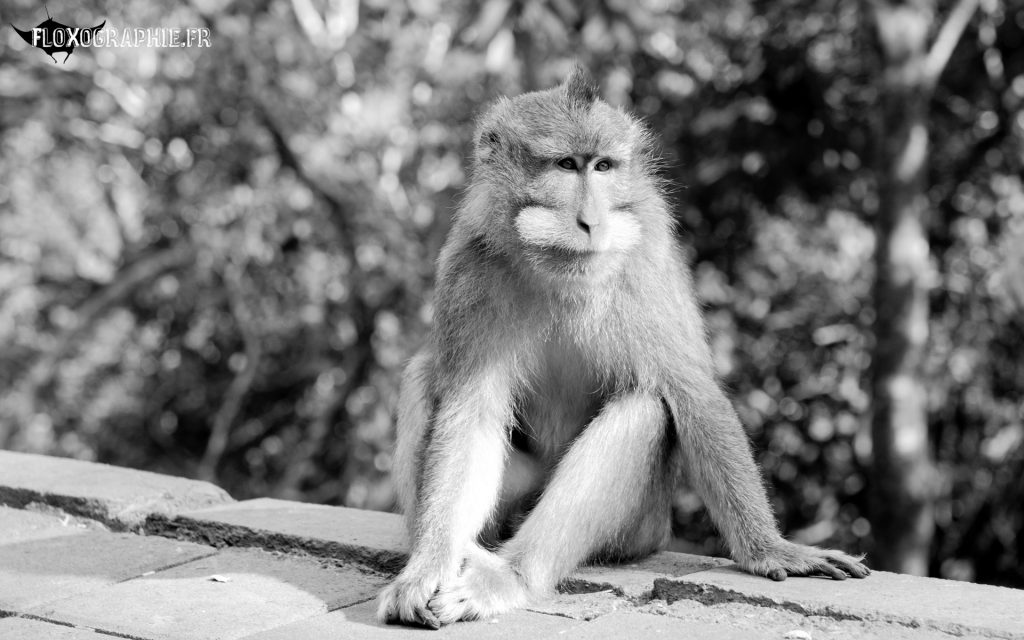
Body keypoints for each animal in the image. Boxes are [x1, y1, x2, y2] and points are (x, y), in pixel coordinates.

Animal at [377, 66, 869, 629]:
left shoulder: (643, 264)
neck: (558, 272)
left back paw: (508, 577)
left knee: (646, 410)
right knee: (422, 373)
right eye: (566, 165)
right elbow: (470, 416)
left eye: (604, 166)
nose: (592, 221)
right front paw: (428, 566)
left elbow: (691, 393)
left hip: (641, 529)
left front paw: (772, 549)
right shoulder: (468, 270)